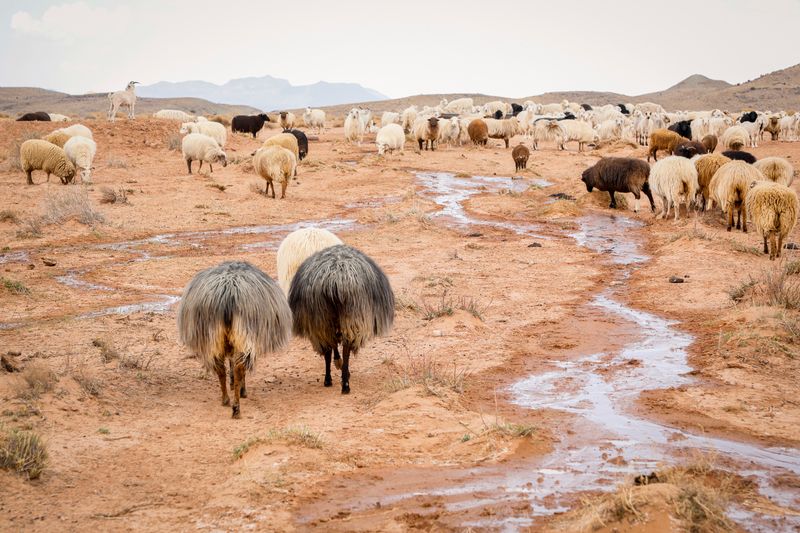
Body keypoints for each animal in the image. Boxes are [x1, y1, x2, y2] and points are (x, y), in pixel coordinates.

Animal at [177, 261, 291, 418]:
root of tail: (227, 296)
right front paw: (242, 390)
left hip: (213, 339)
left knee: (220, 369)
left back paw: (226, 399)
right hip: (244, 335)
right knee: (239, 368)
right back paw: (236, 406)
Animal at [288, 245, 394, 394]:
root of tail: (335, 280)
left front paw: (337, 364)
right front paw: (341, 366)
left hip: (321, 318)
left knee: (328, 347)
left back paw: (329, 379)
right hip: (352, 315)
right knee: (345, 346)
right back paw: (345, 383)